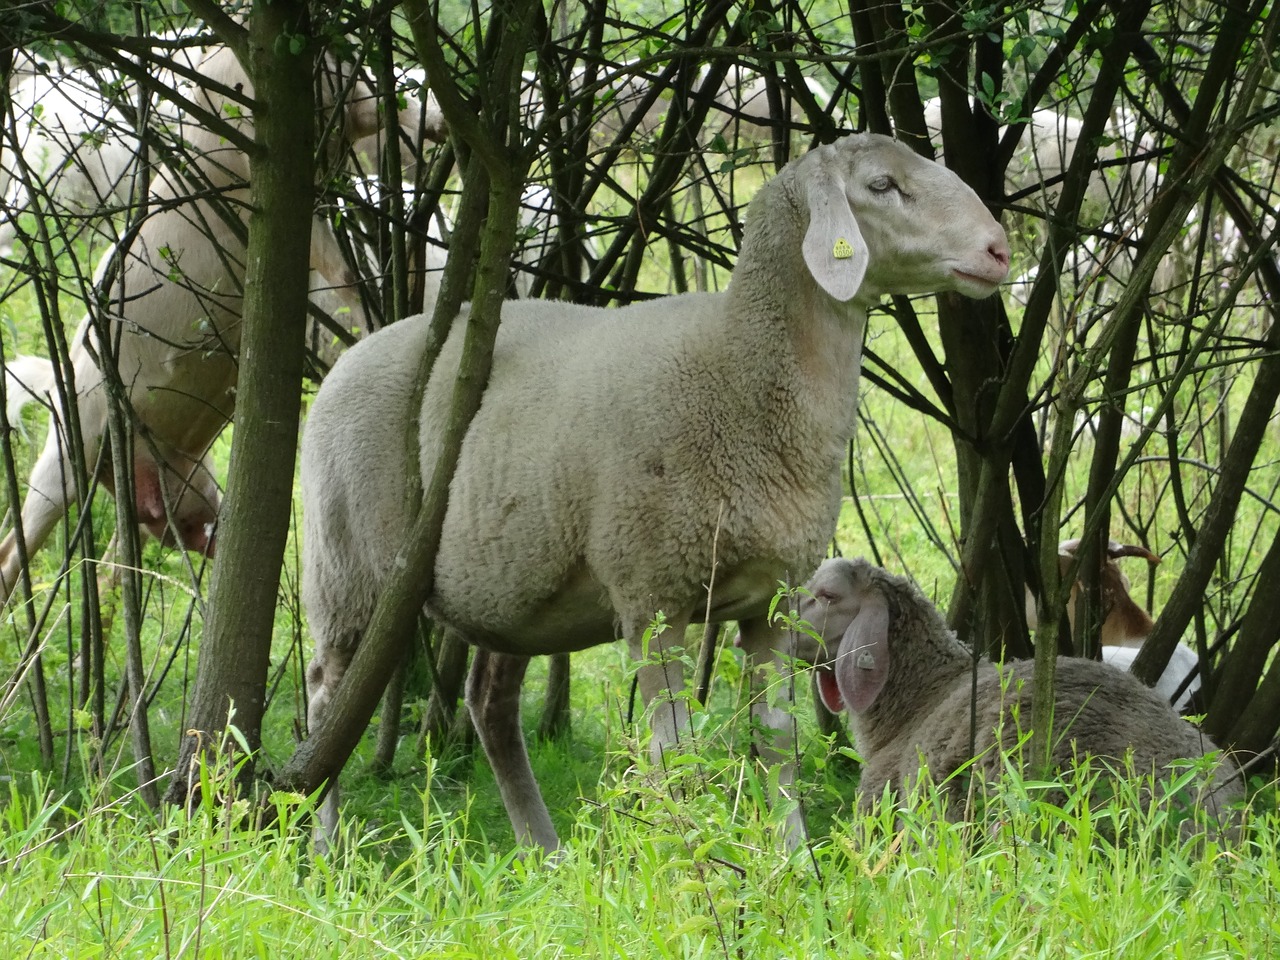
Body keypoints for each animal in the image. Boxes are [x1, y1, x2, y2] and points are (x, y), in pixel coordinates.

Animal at [0, 45, 384, 604]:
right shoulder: (266, 181)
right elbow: (341, 274)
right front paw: (380, 324)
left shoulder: (354, 111)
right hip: (71, 447)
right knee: (15, 548)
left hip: (191, 486)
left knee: (158, 549)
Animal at [299, 129, 1008, 855]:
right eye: (881, 186)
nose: (999, 250)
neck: (739, 362)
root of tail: (353, 352)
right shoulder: (654, 596)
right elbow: (676, 753)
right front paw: (691, 861)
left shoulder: (772, 600)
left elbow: (776, 745)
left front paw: (794, 859)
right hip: (348, 566)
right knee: (326, 698)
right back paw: (325, 845)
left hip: (513, 582)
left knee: (488, 701)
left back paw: (542, 851)